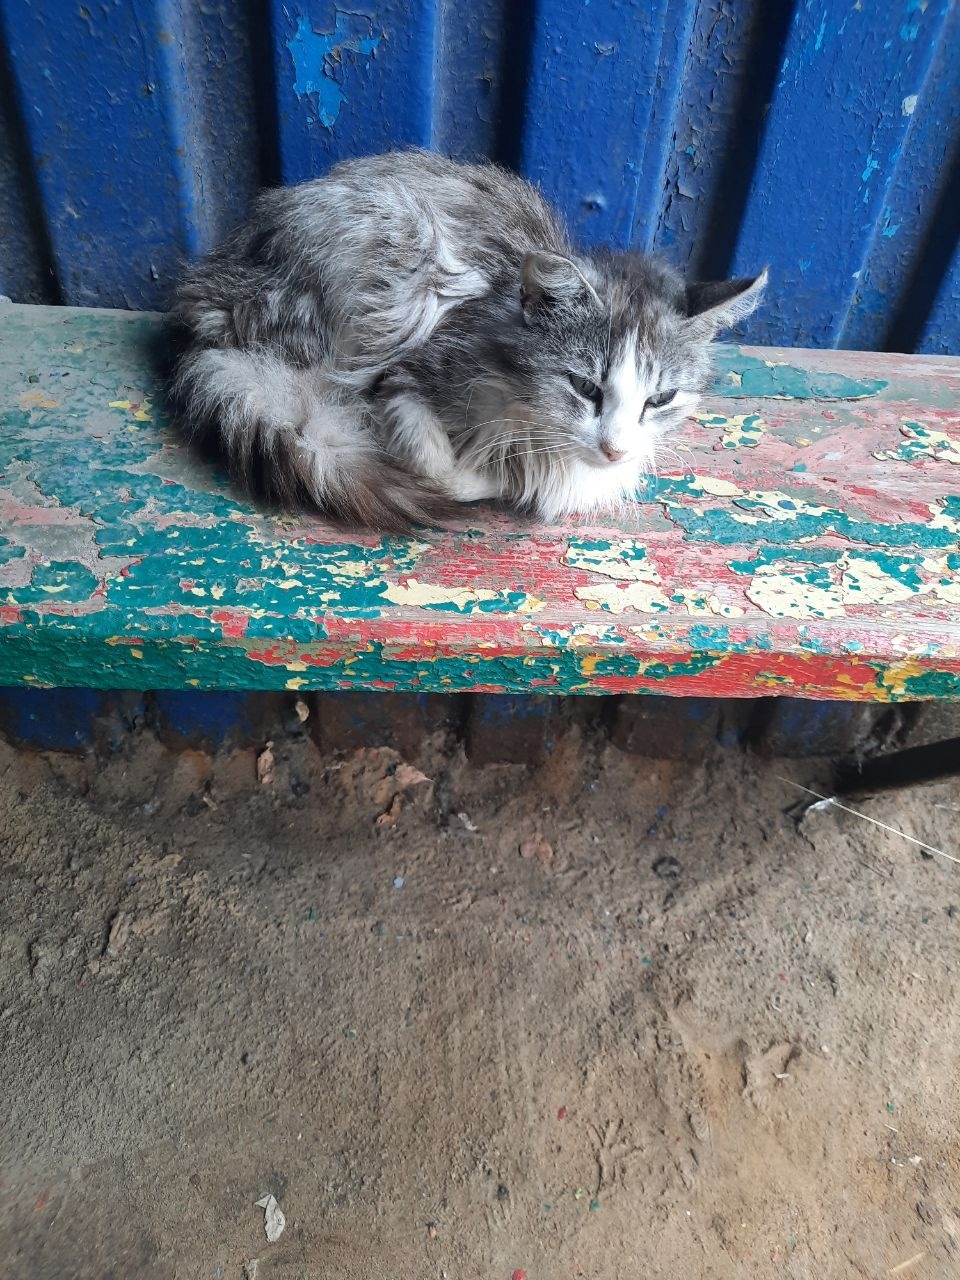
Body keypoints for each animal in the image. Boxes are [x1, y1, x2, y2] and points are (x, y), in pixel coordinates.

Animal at [170, 149, 765, 532]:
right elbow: (446, 471)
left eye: (660, 399)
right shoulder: (408, 373)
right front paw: (484, 472)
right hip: (397, 253)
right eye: (584, 387)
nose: (615, 448)